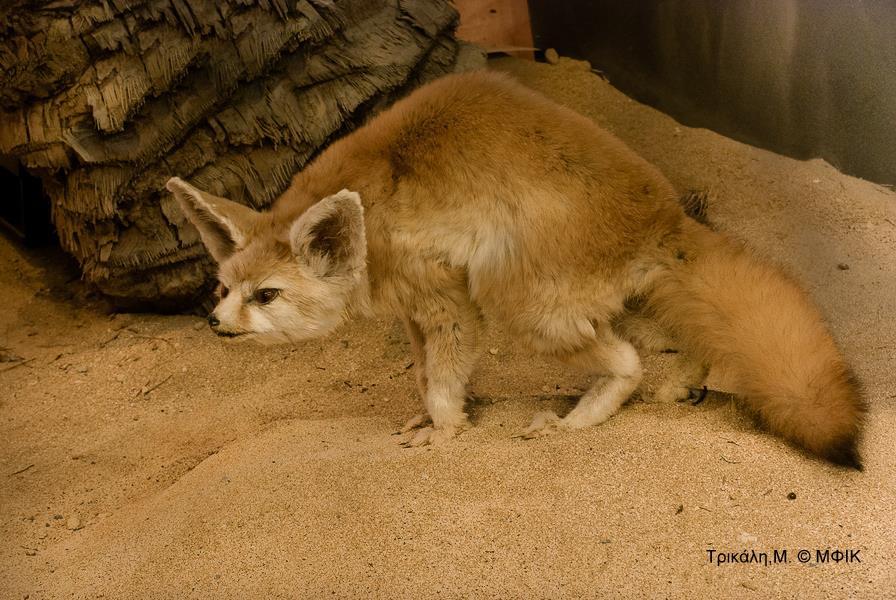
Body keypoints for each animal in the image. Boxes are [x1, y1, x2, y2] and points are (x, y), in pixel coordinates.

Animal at [164, 69, 864, 464]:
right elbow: (426, 376)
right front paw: (433, 416)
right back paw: (680, 387)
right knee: (674, 342)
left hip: (520, 304)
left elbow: (442, 378)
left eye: (267, 296)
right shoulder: (415, 315)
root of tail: (665, 216)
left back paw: (577, 421)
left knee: (627, 362)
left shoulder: (450, 305)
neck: (371, 214)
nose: (214, 323)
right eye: (223, 289)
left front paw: (446, 431)